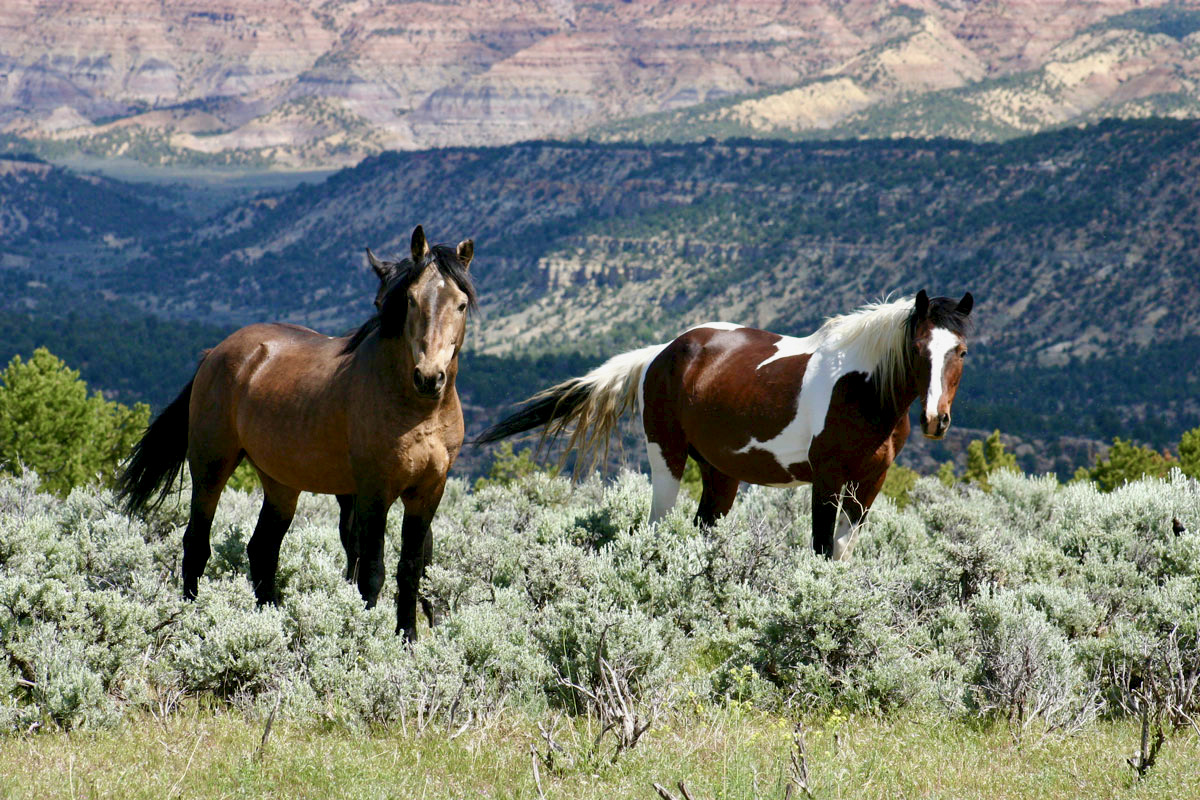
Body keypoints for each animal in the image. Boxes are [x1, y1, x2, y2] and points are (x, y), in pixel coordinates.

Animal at [115, 225, 472, 638]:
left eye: (461, 304)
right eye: (412, 300)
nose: (429, 377)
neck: (418, 412)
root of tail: (215, 353)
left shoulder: (427, 492)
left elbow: (412, 569)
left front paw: (408, 639)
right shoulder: (373, 491)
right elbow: (371, 572)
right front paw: (367, 638)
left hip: (280, 484)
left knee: (262, 550)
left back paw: (270, 621)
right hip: (210, 467)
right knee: (197, 544)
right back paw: (193, 620)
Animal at [472, 291, 969, 561]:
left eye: (961, 350)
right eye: (919, 349)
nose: (935, 421)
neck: (862, 388)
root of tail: (659, 353)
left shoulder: (869, 483)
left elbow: (842, 554)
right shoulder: (826, 480)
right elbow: (820, 549)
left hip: (720, 473)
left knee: (703, 526)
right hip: (667, 459)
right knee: (657, 524)